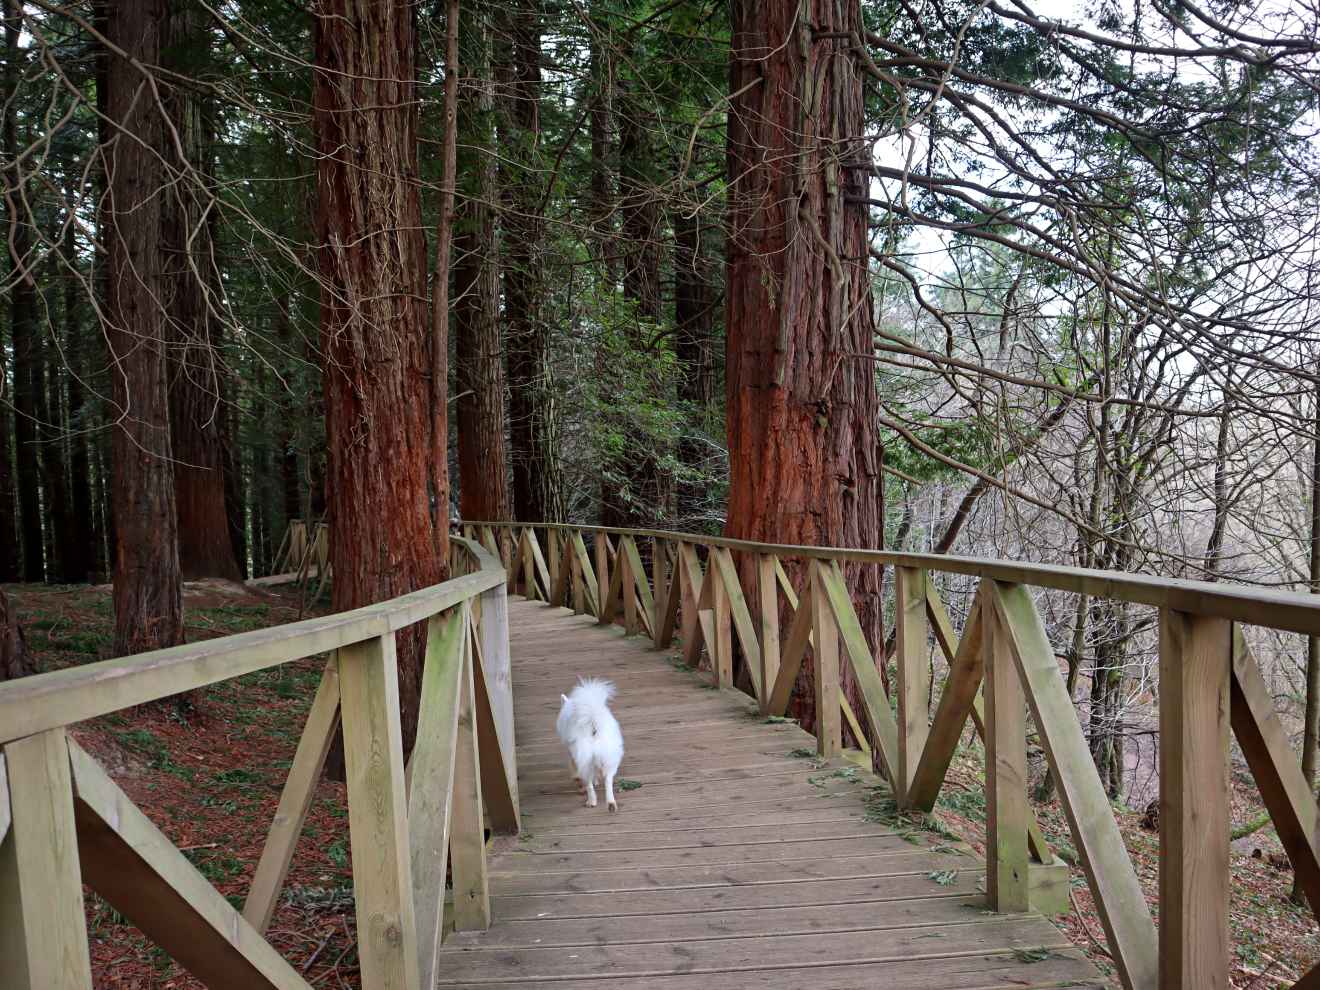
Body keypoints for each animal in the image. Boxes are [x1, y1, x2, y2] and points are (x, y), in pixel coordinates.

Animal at [551, 681, 623, 813]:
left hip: (585, 761)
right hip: (610, 759)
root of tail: (593, 724)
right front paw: (597, 781)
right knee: (608, 781)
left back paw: (591, 801)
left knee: (589, 784)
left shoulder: (572, 754)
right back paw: (611, 804)